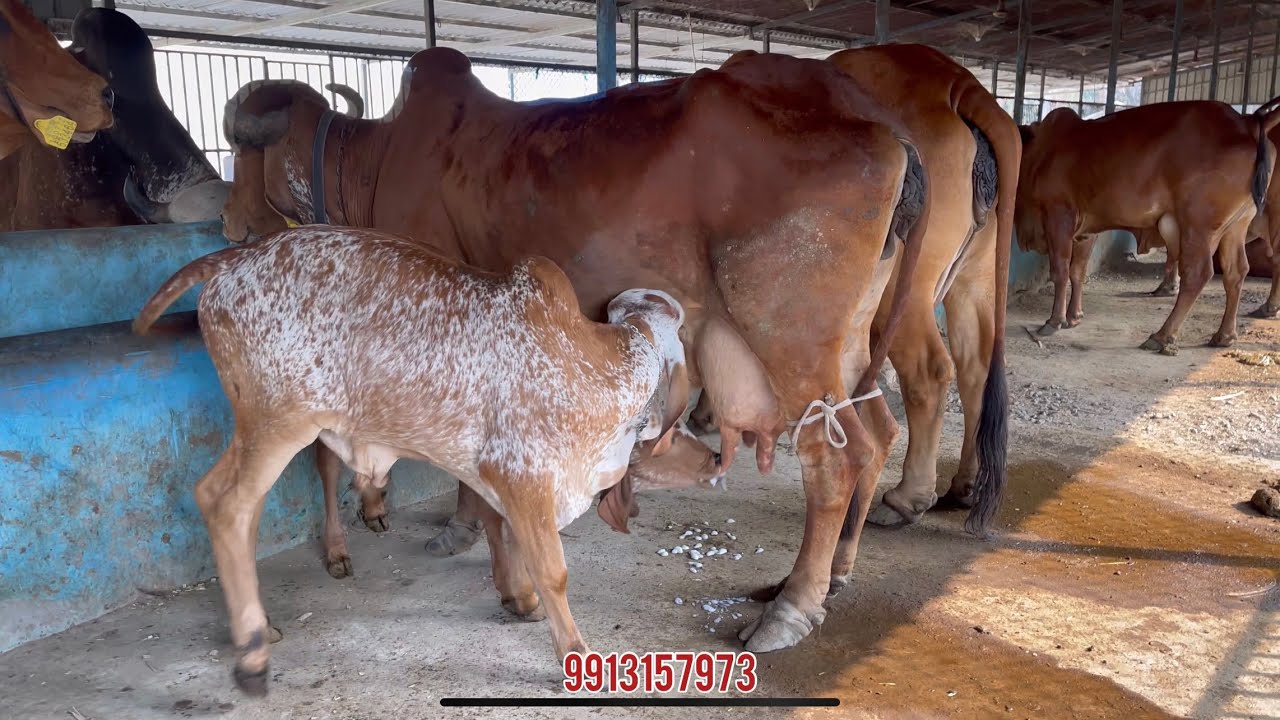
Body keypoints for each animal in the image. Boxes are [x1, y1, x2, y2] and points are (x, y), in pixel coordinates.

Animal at [132, 226, 725, 695]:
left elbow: (505, 541)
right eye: (677, 429)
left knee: (252, 508)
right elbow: (553, 570)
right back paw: (253, 652)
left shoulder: (497, 479)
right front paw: (574, 654)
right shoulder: (523, 474)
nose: (717, 457)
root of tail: (233, 259)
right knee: (224, 502)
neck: (601, 370)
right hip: (277, 423)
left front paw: (518, 600)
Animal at [218, 47, 994, 656]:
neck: (376, 161)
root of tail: (883, 124)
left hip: (791, 336)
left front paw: (462, 535)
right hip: (856, 339)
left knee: (835, 457)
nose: (228, 221)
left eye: (245, 150)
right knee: (878, 430)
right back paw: (832, 572)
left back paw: (793, 607)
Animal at [1017, 101, 1280, 355]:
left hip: (1199, 225)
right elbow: (1077, 271)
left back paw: (1162, 336)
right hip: (1236, 226)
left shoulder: (1058, 214)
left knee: (1198, 274)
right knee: (1236, 271)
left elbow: (1060, 270)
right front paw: (1074, 316)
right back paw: (1224, 335)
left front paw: (1054, 321)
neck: (1039, 150)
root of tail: (1246, 121)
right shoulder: (1086, 231)